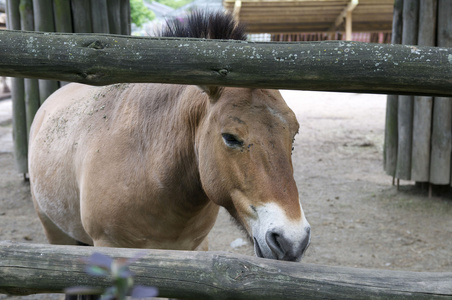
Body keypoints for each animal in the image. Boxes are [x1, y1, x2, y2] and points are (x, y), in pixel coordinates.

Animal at [29, 11, 310, 270]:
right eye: (230, 137)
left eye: (293, 137)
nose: (292, 241)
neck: (147, 166)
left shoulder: (196, 248)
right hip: (54, 231)